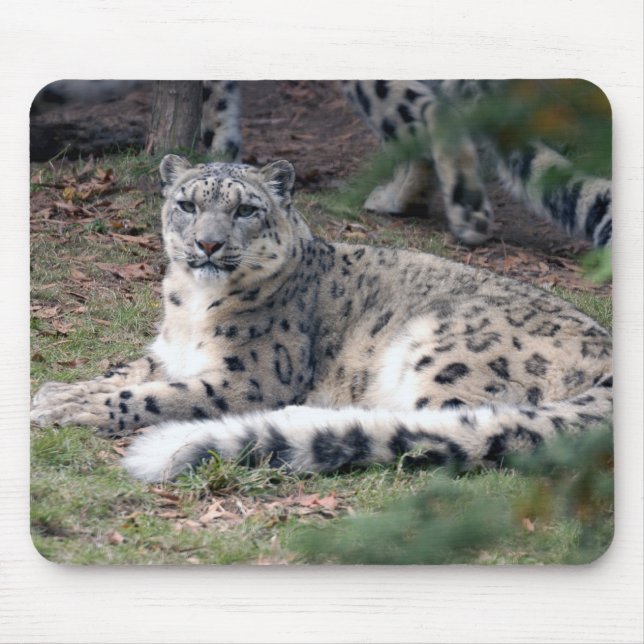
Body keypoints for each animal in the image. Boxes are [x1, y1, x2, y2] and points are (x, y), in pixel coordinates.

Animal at [30, 155, 613, 482]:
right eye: (187, 204)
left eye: (246, 210)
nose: (208, 244)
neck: (191, 305)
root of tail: (610, 357)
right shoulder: (166, 352)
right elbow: (125, 374)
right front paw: (58, 392)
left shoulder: (248, 377)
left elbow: (158, 395)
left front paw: (66, 408)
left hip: (444, 351)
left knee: (435, 424)